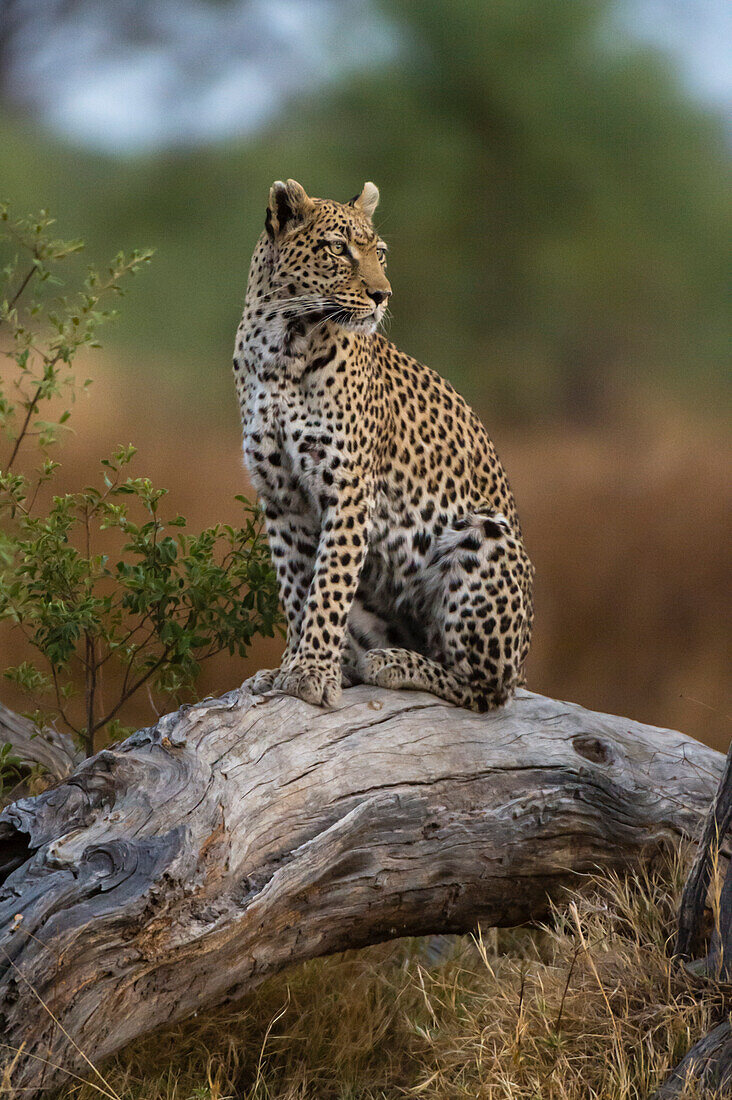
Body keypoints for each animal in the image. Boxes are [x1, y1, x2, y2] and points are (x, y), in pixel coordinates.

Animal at [232, 178, 530, 712]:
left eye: (381, 253)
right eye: (338, 249)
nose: (382, 295)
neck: (283, 344)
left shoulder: (349, 488)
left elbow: (328, 584)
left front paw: (310, 673)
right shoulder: (281, 498)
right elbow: (296, 590)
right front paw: (290, 667)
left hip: (486, 536)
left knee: (488, 689)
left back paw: (392, 663)